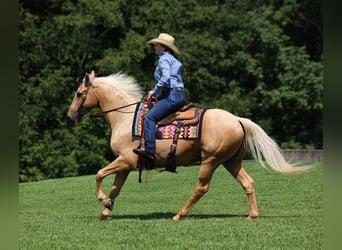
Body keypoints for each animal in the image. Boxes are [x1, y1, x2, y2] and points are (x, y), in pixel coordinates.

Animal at [66, 70, 312, 221]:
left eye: (79, 93)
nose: (69, 116)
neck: (125, 119)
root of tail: (237, 119)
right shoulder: (126, 165)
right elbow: (115, 188)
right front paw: (106, 209)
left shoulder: (125, 160)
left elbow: (99, 174)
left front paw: (102, 200)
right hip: (231, 162)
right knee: (248, 182)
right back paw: (252, 214)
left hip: (211, 161)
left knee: (201, 187)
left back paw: (179, 214)